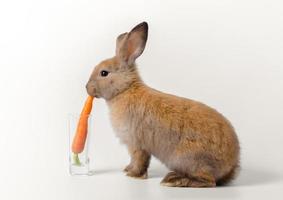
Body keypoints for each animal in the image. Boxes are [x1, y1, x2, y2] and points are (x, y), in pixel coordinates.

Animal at [86, 21, 240, 188]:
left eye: (104, 73)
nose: (87, 88)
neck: (125, 89)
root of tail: (230, 166)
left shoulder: (137, 143)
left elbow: (139, 160)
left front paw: (133, 175)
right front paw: (127, 169)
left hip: (188, 159)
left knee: (209, 181)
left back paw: (174, 180)